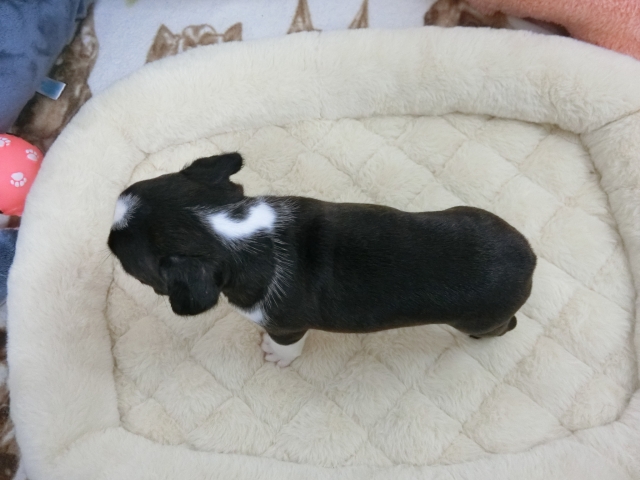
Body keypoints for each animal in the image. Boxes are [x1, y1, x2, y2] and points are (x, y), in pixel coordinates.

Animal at [108, 153, 536, 367]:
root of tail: (529, 259)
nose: (107, 238)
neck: (229, 229)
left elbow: (285, 344)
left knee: (503, 327)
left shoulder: (285, 325)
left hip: (479, 320)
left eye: (124, 260)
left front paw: (277, 356)